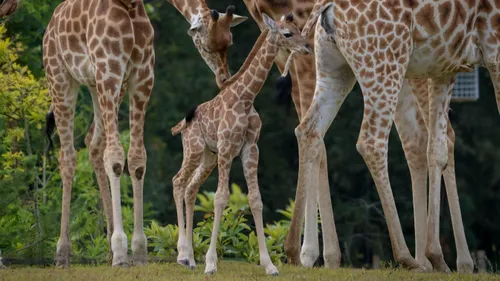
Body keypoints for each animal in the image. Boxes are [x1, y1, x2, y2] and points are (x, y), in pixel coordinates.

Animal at [173, 13, 312, 274]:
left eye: (299, 29)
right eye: (287, 34)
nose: (307, 47)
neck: (246, 97)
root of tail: (181, 125)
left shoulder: (251, 148)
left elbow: (255, 200)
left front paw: (269, 265)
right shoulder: (228, 148)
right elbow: (220, 198)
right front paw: (211, 264)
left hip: (209, 156)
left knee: (190, 188)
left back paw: (191, 259)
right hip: (194, 149)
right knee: (178, 182)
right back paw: (183, 255)